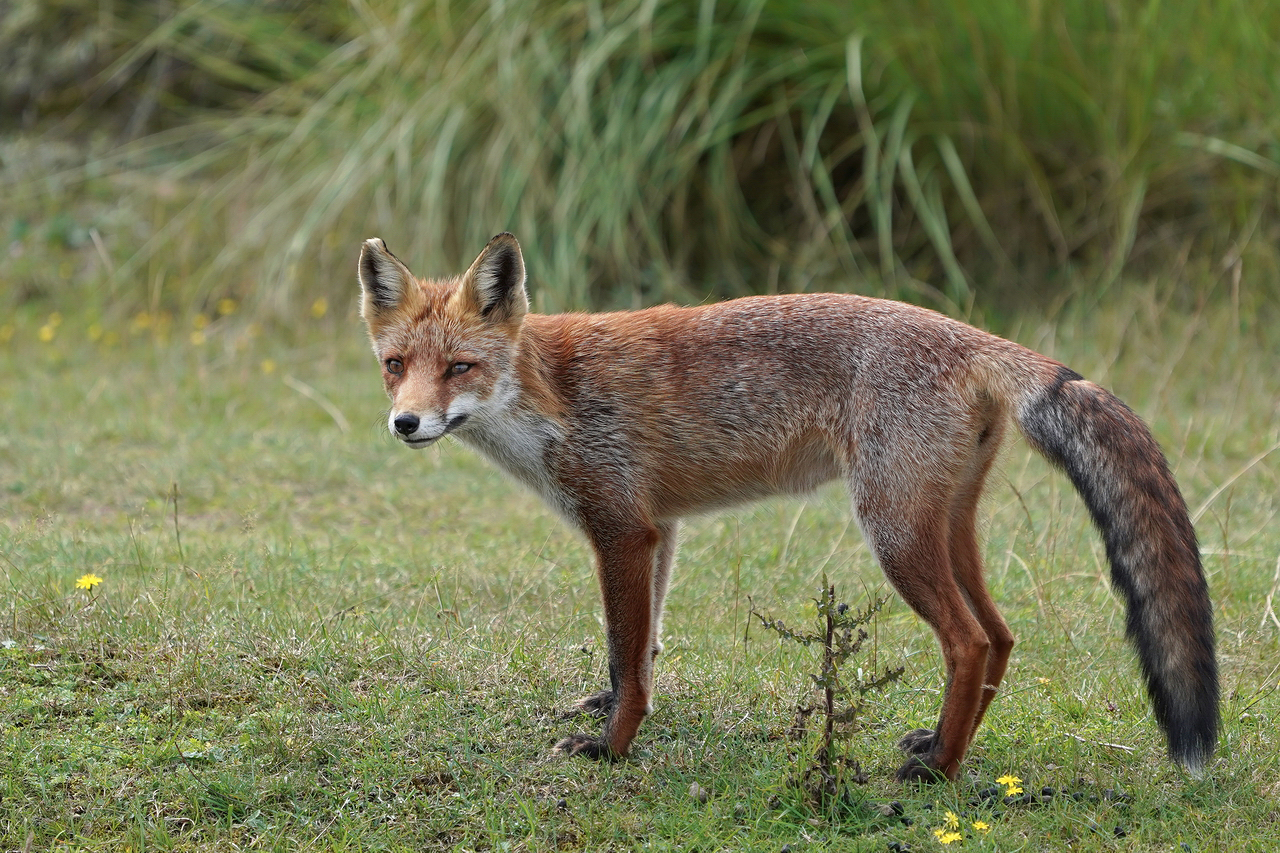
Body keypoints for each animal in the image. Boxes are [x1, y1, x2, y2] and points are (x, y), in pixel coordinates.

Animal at [358, 230, 1218, 778]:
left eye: (461, 368)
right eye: (395, 365)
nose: (405, 423)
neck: (550, 395)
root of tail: (972, 335)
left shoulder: (621, 529)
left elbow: (630, 655)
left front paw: (614, 746)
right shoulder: (658, 529)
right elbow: (638, 647)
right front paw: (609, 710)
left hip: (893, 532)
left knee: (970, 640)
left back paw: (940, 770)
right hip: (943, 524)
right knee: (1002, 634)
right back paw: (942, 742)